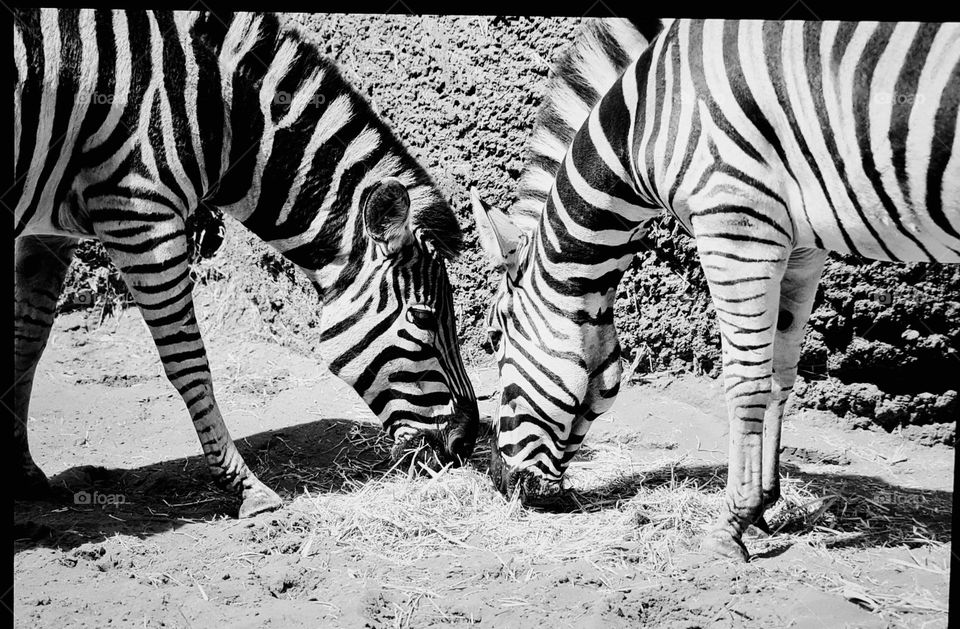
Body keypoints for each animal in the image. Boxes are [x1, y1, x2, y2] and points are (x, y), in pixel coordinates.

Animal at [13, 9, 478, 518]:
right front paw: (245, 487)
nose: (466, 443)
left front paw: (22, 471)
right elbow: (188, 359)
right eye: (424, 318)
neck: (215, 112)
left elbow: (27, 341)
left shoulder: (50, 229)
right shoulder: (139, 212)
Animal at [471, 19, 959, 561]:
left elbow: (745, 380)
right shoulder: (801, 247)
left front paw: (731, 525)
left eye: (493, 338)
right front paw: (765, 506)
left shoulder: (735, 223)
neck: (640, 129)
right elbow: (780, 375)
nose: (499, 484)